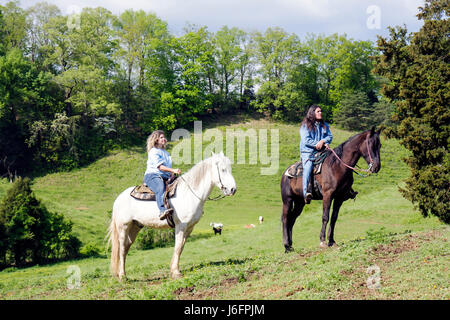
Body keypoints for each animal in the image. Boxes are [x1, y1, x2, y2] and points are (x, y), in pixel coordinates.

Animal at [107, 151, 237, 278]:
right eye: (223, 169)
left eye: (230, 169)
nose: (233, 189)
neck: (189, 193)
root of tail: (118, 198)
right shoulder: (181, 226)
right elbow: (178, 247)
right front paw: (176, 272)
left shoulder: (190, 227)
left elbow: (180, 248)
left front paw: (173, 270)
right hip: (123, 226)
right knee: (121, 249)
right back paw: (122, 276)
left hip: (135, 226)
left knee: (126, 248)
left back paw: (121, 274)